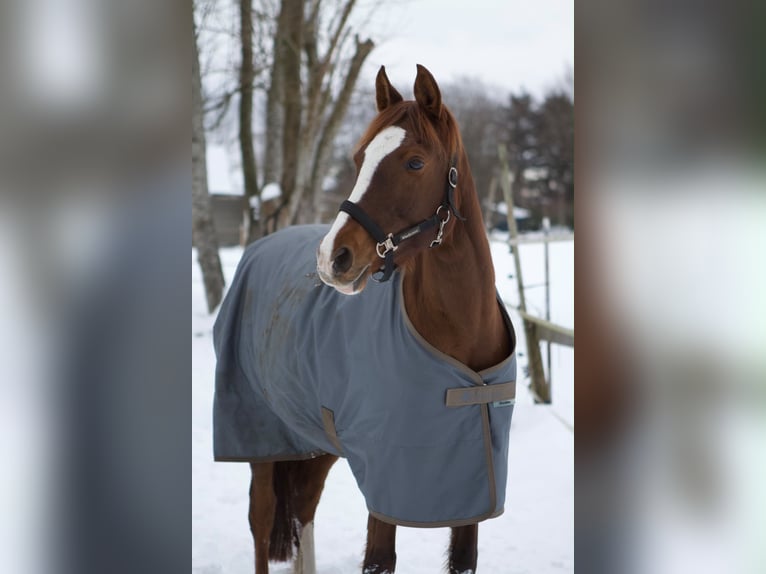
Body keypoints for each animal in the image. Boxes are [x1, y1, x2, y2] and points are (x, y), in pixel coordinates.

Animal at [213, 64, 516, 574]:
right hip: (263, 437)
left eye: (415, 163)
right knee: (263, 519)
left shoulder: (470, 496)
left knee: (303, 510)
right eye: (359, 157)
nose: (332, 257)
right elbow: (378, 559)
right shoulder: (383, 490)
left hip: (315, 438)